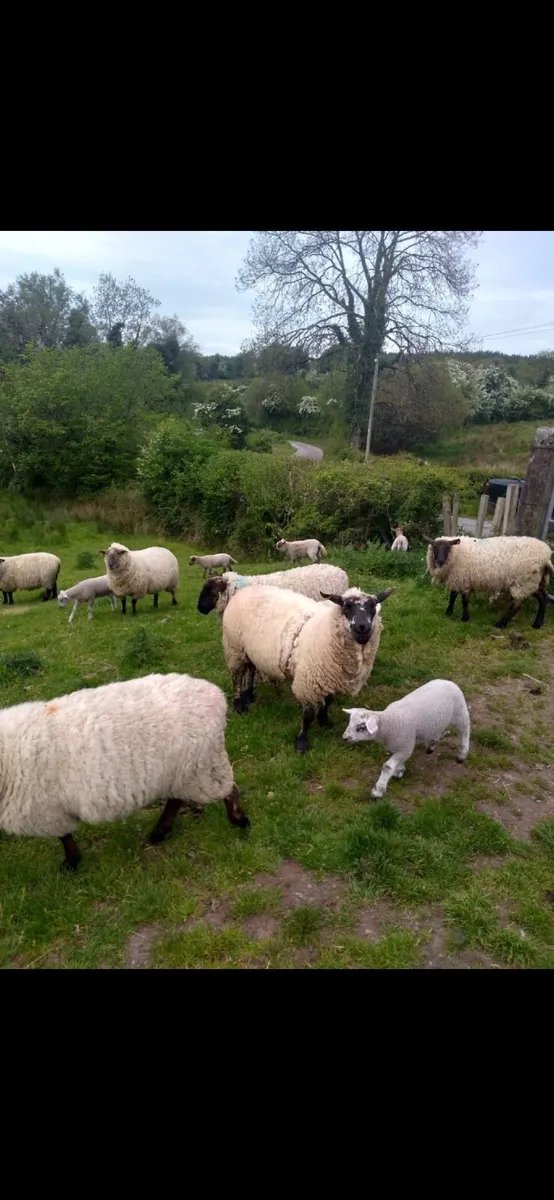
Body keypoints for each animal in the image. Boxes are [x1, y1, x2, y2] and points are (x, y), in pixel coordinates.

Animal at [0, 672, 249, 872]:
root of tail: (215, 695)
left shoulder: (48, 809)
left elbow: (64, 837)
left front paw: (71, 863)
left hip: (201, 766)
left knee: (226, 790)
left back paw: (239, 820)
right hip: (183, 772)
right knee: (176, 799)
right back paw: (159, 833)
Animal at [222, 584, 393, 752]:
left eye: (373, 606)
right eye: (347, 606)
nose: (362, 627)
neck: (326, 630)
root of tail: (244, 590)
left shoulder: (330, 677)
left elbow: (328, 701)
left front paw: (324, 721)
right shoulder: (308, 682)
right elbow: (308, 715)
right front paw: (301, 743)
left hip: (248, 649)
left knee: (251, 668)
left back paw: (249, 694)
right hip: (234, 647)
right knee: (237, 676)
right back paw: (239, 704)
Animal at [342, 679, 470, 799]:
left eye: (361, 727)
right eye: (350, 722)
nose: (344, 738)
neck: (388, 723)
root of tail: (448, 681)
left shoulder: (405, 746)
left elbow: (387, 767)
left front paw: (378, 791)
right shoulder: (399, 747)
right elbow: (398, 762)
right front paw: (399, 770)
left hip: (460, 713)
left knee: (465, 729)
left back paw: (462, 754)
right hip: (438, 721)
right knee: (437, 732)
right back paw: (431, 746)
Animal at [424, 534, 554, 629]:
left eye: (448, 548)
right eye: (434, 548)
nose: (440, 562)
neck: (457, 554)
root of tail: (547, 557)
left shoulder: (465, 580)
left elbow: (464, 601)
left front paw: (465, 618)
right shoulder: (458, 579)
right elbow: (452, 596)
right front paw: (449, 612)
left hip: (523, 582)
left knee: (516, 606)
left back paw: (501, 624)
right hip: (533, 582)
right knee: (543, 597)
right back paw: (537, 624)